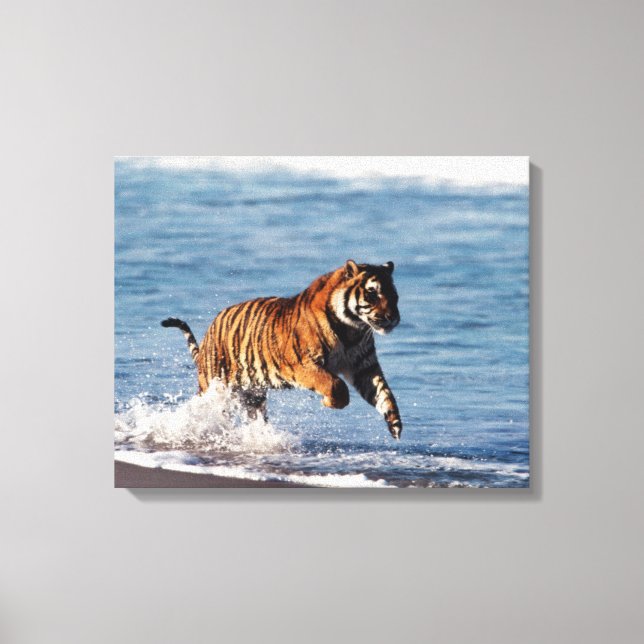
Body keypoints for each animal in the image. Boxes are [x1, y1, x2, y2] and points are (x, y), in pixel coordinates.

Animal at [161, 260, 403, 438]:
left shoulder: (364, 367)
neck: (352, 329)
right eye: (372, 293)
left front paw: (395, 424)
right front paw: (330, 402)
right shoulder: (303, 364)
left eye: (394, 296)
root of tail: (210, 331)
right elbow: (335, 385)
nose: (393, 318)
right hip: (216, 388)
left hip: (252, 395)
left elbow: (384, 392)